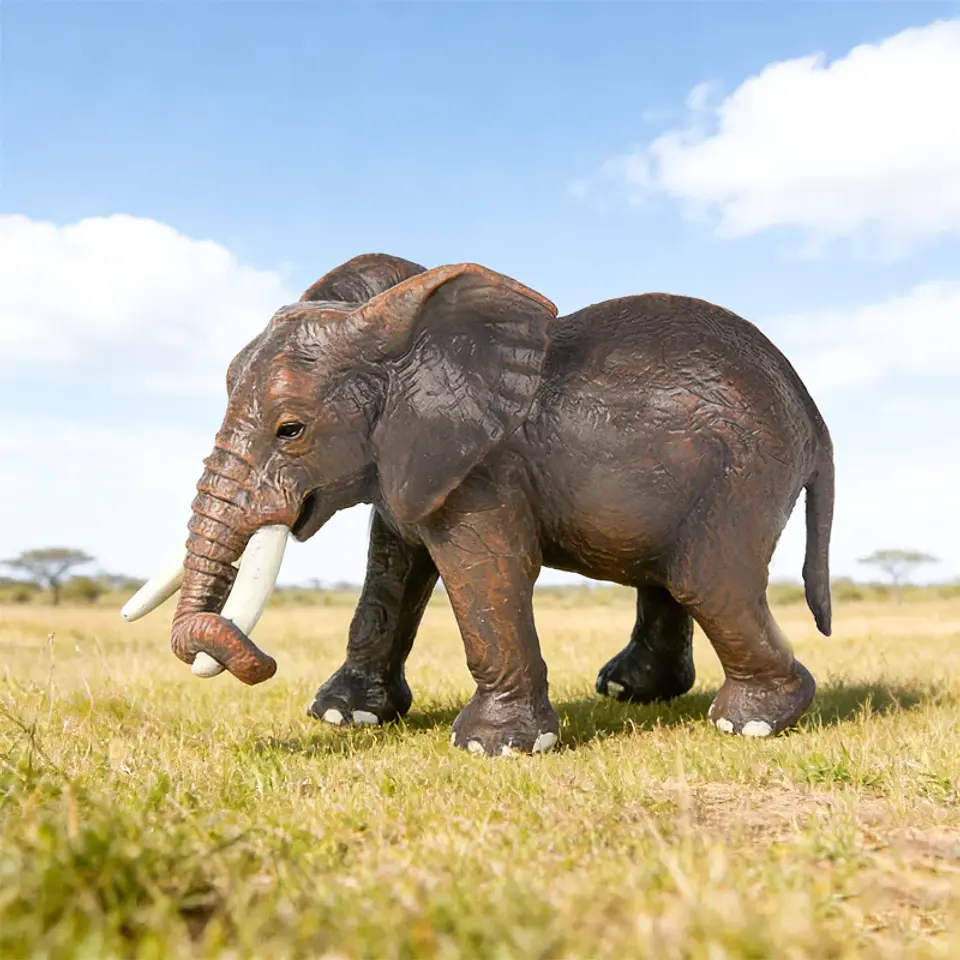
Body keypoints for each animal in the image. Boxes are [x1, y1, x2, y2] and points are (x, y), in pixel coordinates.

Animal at [122, 252, 834, 756]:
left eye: (290, 430)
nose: (262, 662)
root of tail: (811, 412)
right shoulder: (409, 455)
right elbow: (393, 569)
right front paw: (343, 718)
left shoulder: (485, 469)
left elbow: (483, 571)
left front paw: (493, 748)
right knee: (668, 577)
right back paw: (628, 692)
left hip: (745, 473)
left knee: (706, 581)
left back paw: (751, 725)